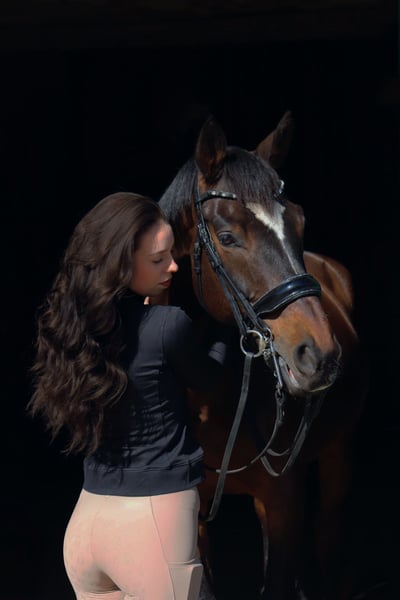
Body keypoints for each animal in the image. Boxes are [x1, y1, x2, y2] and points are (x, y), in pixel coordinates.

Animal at [157, 112, 367, 600]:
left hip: (338, 455)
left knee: (327, 534)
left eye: (300, 221)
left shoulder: (286, 501)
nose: (320, 353)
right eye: (228, 236)